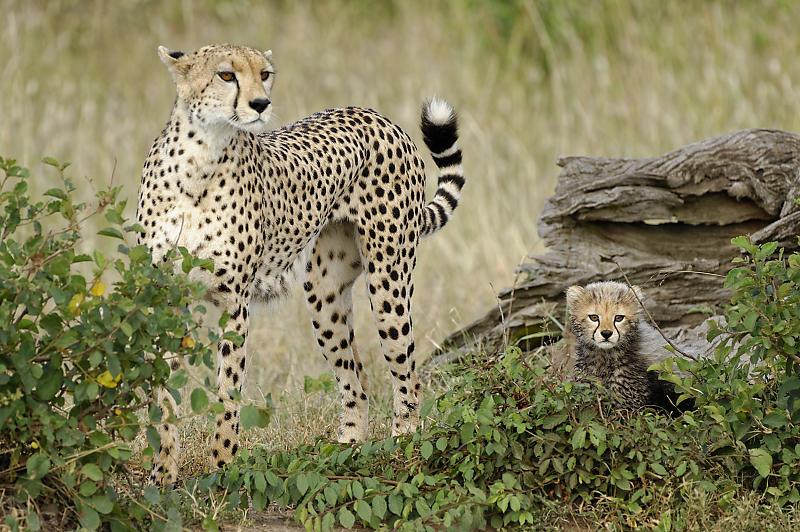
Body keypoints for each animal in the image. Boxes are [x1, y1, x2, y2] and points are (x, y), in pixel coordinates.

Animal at [136, 43, 462, 484]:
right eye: (226, 75)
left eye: (265, 74)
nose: (260, 103)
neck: (199, 161)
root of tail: (376, 115)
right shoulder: (164, 296)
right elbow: (162, 398)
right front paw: (163, 475)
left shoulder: (234, 302)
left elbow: (227, 392)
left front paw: (222, 468)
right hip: (324, 295)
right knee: (356, 380)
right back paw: (347, 448)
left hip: (388, 278)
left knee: (407, 373)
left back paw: (403, 443)